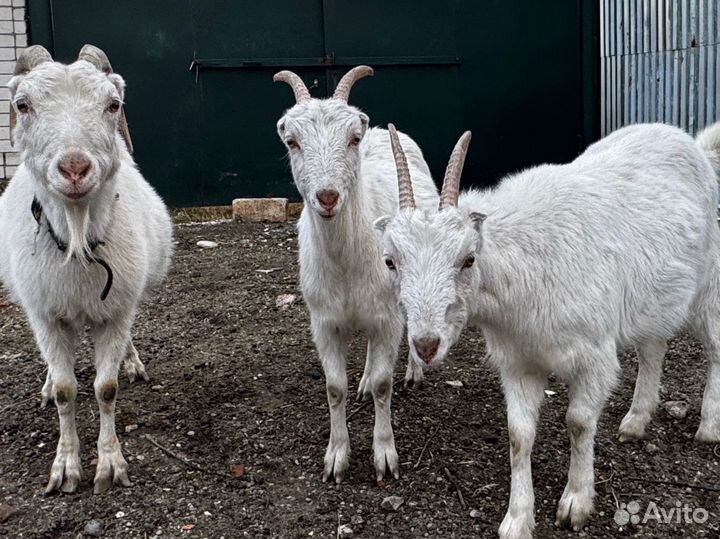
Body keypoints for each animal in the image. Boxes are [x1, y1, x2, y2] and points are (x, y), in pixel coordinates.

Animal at [0, 45, 173, 494]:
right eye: (22, 105)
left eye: (113, 105)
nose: (75, 169)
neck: (77, 243)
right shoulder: (46, 315)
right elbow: (66, 391)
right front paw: (65, 468)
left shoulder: (115, 311)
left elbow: (105, 388)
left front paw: (110, 465)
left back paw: (132, 362)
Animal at [274, 69, 438, 483]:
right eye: (292, 141)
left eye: (353, 139)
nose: (328, 197)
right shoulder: (325, 321)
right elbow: (334, 387)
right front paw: (336, 457)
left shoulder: (387, 317)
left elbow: (383, 384)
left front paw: (385, 455)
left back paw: (413, 371)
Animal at [376, 123, 720, 538]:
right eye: (390, 261)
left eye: (469, 258)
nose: (426, 345)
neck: (527, 263)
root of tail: (693, 145)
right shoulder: (519, 361)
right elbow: (518, 436)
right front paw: (517, 518)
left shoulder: (594, 357)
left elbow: (579, 423)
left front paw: (575, 502)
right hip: (653, 298)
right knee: (653, 346)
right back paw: (636, 420)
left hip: (707, 283)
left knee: (715, 346)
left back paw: (709, 424)